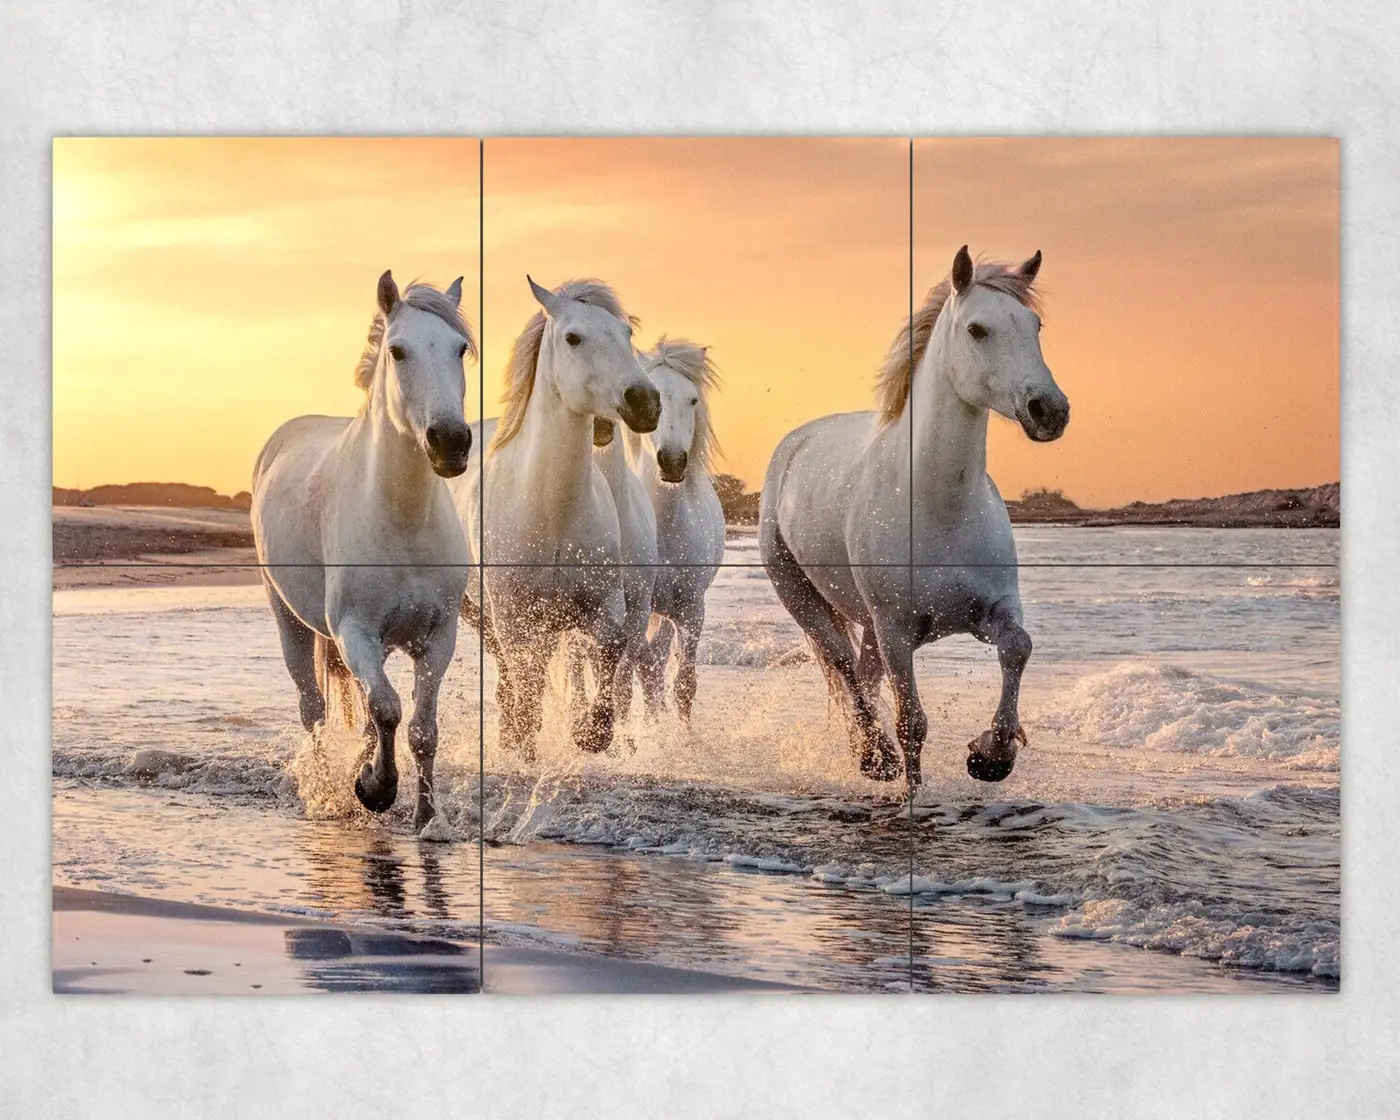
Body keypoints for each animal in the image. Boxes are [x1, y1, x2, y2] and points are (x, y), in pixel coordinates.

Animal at [252, 271, 476, 834]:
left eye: (461, 349)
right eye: (397, 351)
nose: (450, 442)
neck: (402, 519)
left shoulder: (438, 637)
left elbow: (419, 728)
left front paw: (427, 818)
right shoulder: (354, 631)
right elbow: (389, 709)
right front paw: (376, 789)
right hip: (290, 619)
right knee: (314, 709)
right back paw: (329, 789)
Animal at [447, 277, 661, 760]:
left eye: (627, 334)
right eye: (573, 338)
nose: (645, 402)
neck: (553, 513)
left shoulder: (605, 606)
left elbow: (611, 651)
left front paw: (591, 733)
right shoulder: (512, 616)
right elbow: (525, 680)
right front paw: (524, 742)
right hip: (481, 613)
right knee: (512, 673)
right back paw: (511, 735)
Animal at [624, 338, 727, 723]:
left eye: (693, 400)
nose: (671, 462)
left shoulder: (692, 609)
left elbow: (683, 683)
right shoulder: (633, 609)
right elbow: (643, 672)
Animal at [759, 246, 1069, 787]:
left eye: (1035, 325)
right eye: (977, 329)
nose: (1048, 410)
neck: (939, 507)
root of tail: (794, 445)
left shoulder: (991, 610)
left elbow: (1019, 647)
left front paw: (992, 755)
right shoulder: (896, 631)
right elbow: (912, 724)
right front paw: (914, 787)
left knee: (862, 676)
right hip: (802, 596)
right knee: (843, 667)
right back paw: (875, 756)